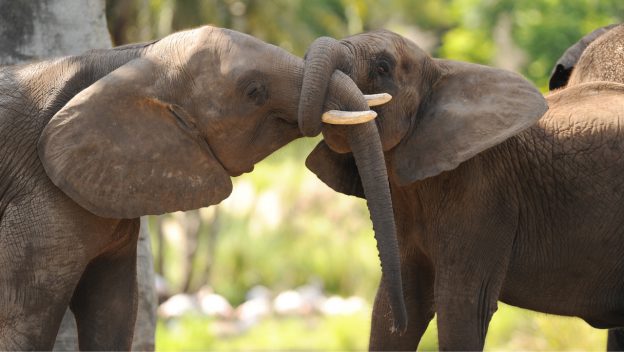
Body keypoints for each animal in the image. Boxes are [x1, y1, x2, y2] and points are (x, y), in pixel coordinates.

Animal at [0, 25, 404, 350]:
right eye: (254, 91)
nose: (398, 326)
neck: (129, 60)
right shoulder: (37, 200)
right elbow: (25, 325)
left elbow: (114, 310)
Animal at [294, 28, 624, 350]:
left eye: (382, 67)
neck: (440, 72)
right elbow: (396, 302)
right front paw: (395, 321)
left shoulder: (483, 194)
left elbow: (461, 307)